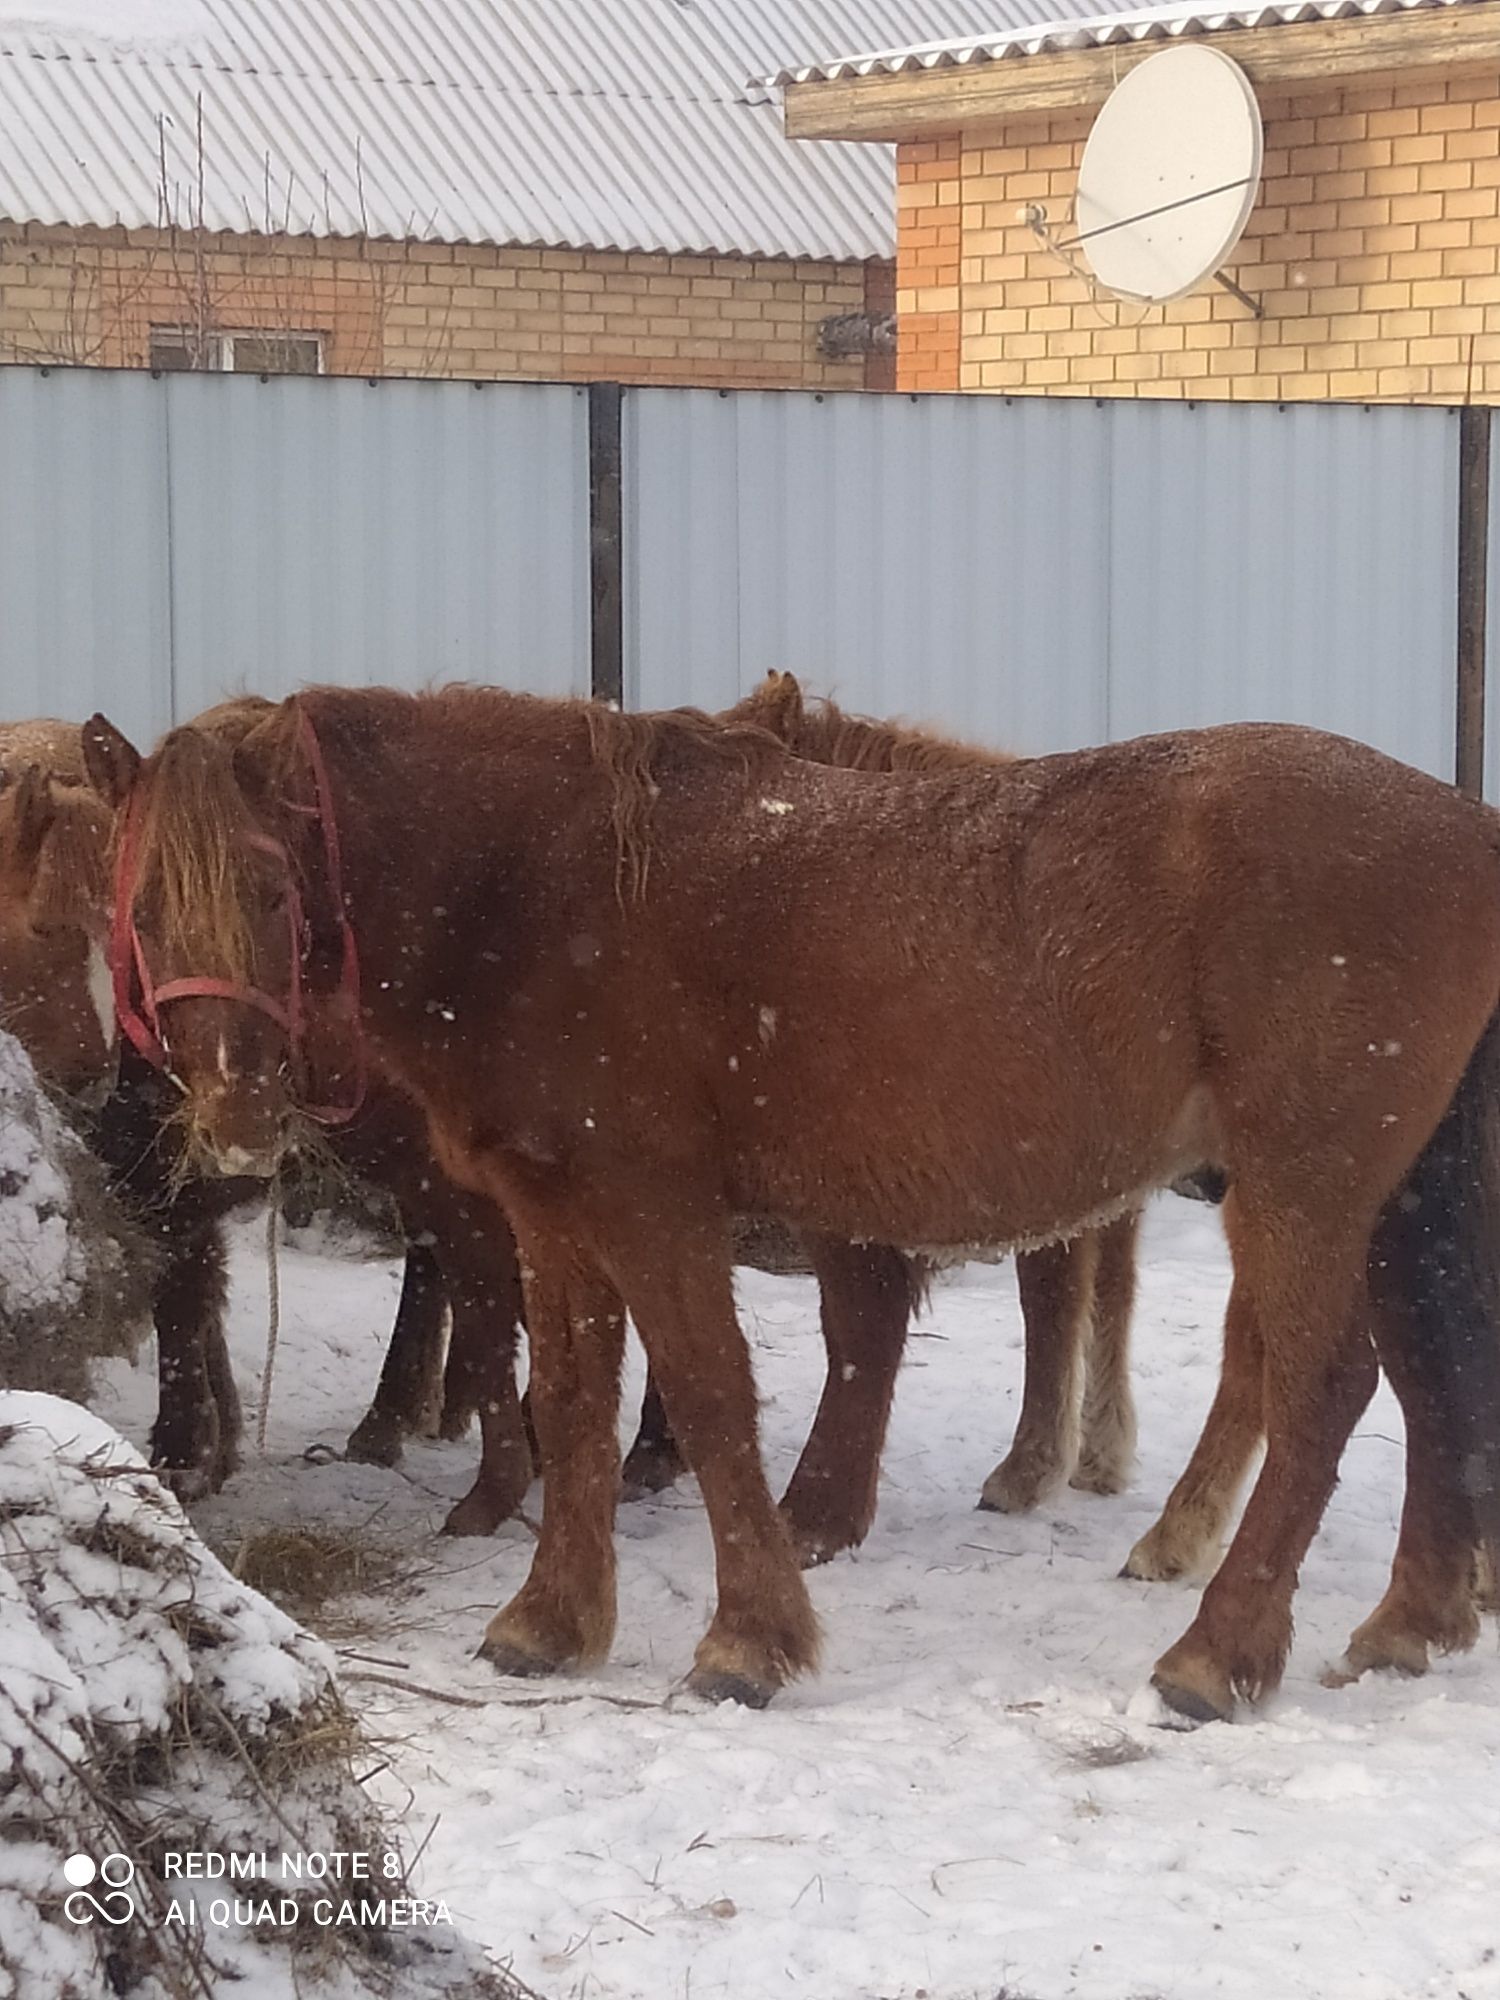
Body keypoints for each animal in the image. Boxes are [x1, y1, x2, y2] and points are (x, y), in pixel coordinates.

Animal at [88, 688, 1500, 1720]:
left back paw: (1219, 1651)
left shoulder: (655, 1206)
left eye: (275, 889)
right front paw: (551, 1622)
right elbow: (572, 1402)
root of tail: (1466, 827)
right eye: (137, 907)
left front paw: (746, 1641)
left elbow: (711, 1395)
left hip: (1305, 1188)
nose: (235, 1117)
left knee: (1323, 1384)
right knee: (1429, 1379)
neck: (538, 885)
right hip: (1393, 1201)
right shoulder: (554, 1218)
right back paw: (1407, 1622)